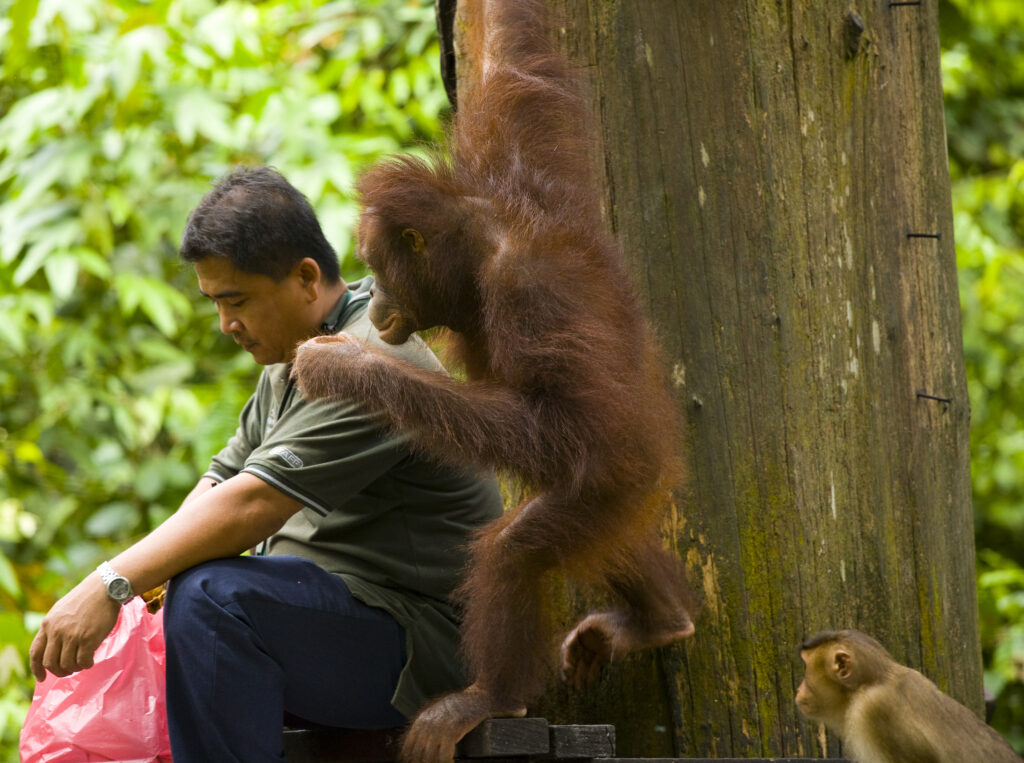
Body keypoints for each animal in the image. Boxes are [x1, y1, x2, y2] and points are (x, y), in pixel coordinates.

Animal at [290, 0, 695, 760]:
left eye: (378, 268)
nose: (376, 303)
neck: (483, 242)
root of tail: (663, 459)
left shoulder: (525, 291)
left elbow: (557, 422)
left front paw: (347, 366)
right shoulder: (519, 148)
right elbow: (516, 57)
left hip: (619, 479)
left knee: (517, 547)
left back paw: (490, 697)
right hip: (624, 494)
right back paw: (662, 619)